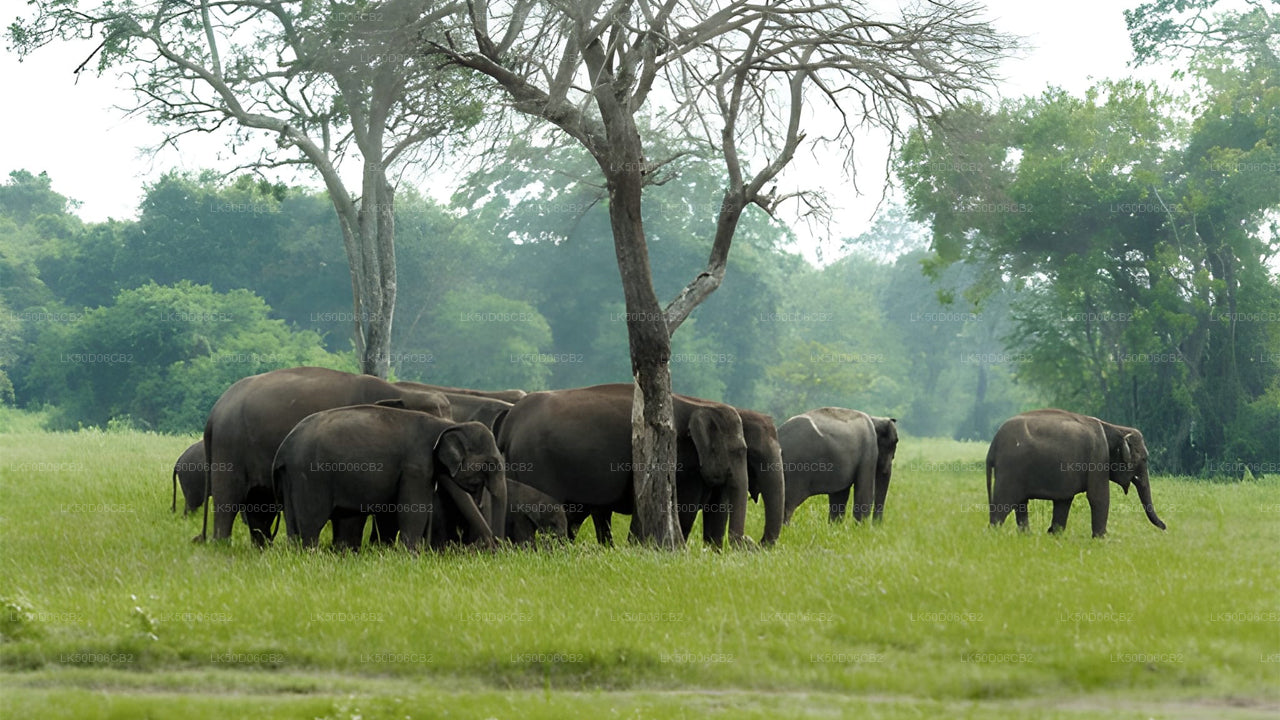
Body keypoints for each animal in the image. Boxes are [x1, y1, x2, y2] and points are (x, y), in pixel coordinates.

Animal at [200, 366, 452, 546]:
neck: (400, 391)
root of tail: (214, 413)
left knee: (259, 507)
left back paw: (261, 549)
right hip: (229, 446)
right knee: (229, 499)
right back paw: (222, 546)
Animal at [272, 405, 505, 551]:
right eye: (491, 464)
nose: (496, 550)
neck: (445, 425)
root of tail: (283, 448)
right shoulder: (416, 466)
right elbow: (413, 509)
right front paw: (409, 555)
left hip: (290, 476)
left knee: (294, 523)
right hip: (310, 476)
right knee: (312, 521)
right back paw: (310, 554)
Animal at [497, 383, 752, 548]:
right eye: (738, 452)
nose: (747, 542)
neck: (701, 404)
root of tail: (511, 422)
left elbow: (716, 509)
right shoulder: (681, 459)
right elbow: (684, 510)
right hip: (535, 462)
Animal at [986, 409, 1166, 537]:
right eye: (1144, 459)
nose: (1165, 527)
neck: (1115, 428)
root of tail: (993, 444)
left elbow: (1064, 501)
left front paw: (1054, 534)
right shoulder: (1098, 456)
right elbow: (1099, 497)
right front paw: (1101, 539)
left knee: (1021, 503)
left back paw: (1026, 536)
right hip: (1010, 469)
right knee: (1004, 503)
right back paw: (994, 533)